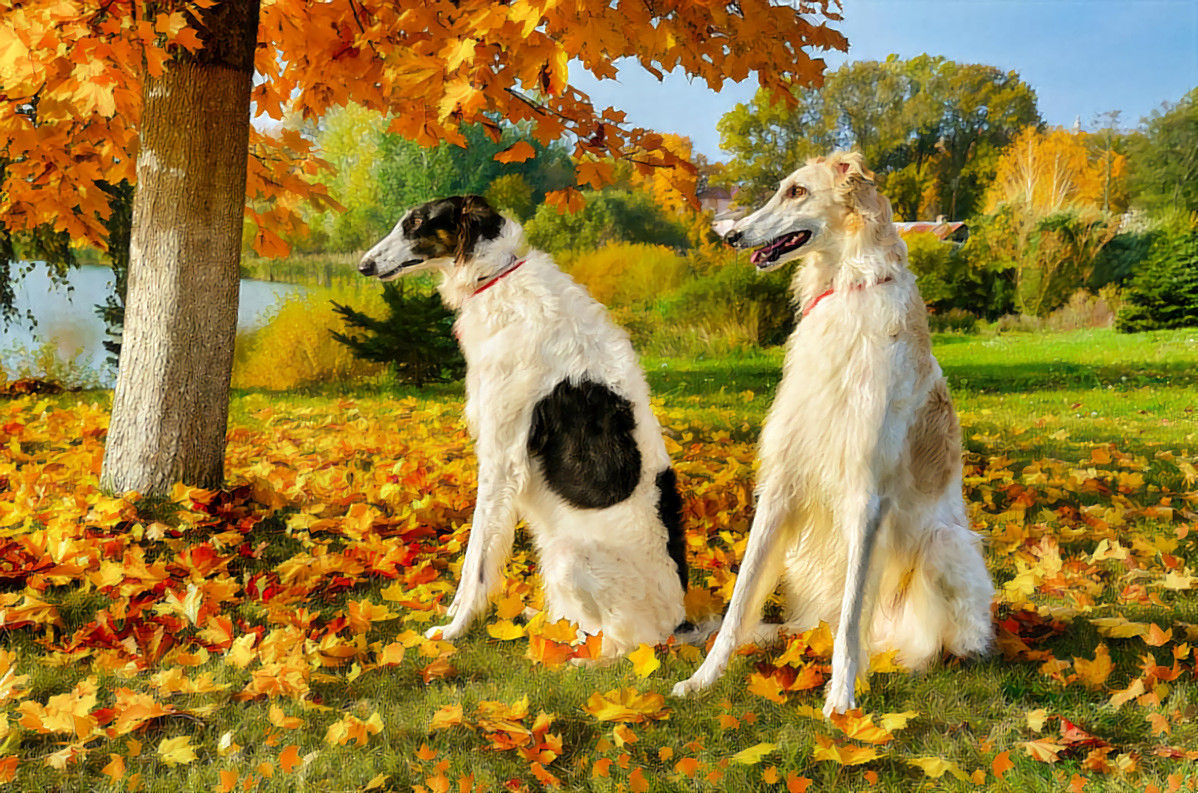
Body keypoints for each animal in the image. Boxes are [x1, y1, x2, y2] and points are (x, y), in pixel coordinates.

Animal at [354, 195, 690, 656]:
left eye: (417, 223)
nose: (363, 265)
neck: (496, 276)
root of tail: (678, 624)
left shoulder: (501, 455)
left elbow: (478, 557)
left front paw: (454, 628)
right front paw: (453, 613)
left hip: (570, 556)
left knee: (617, 646)